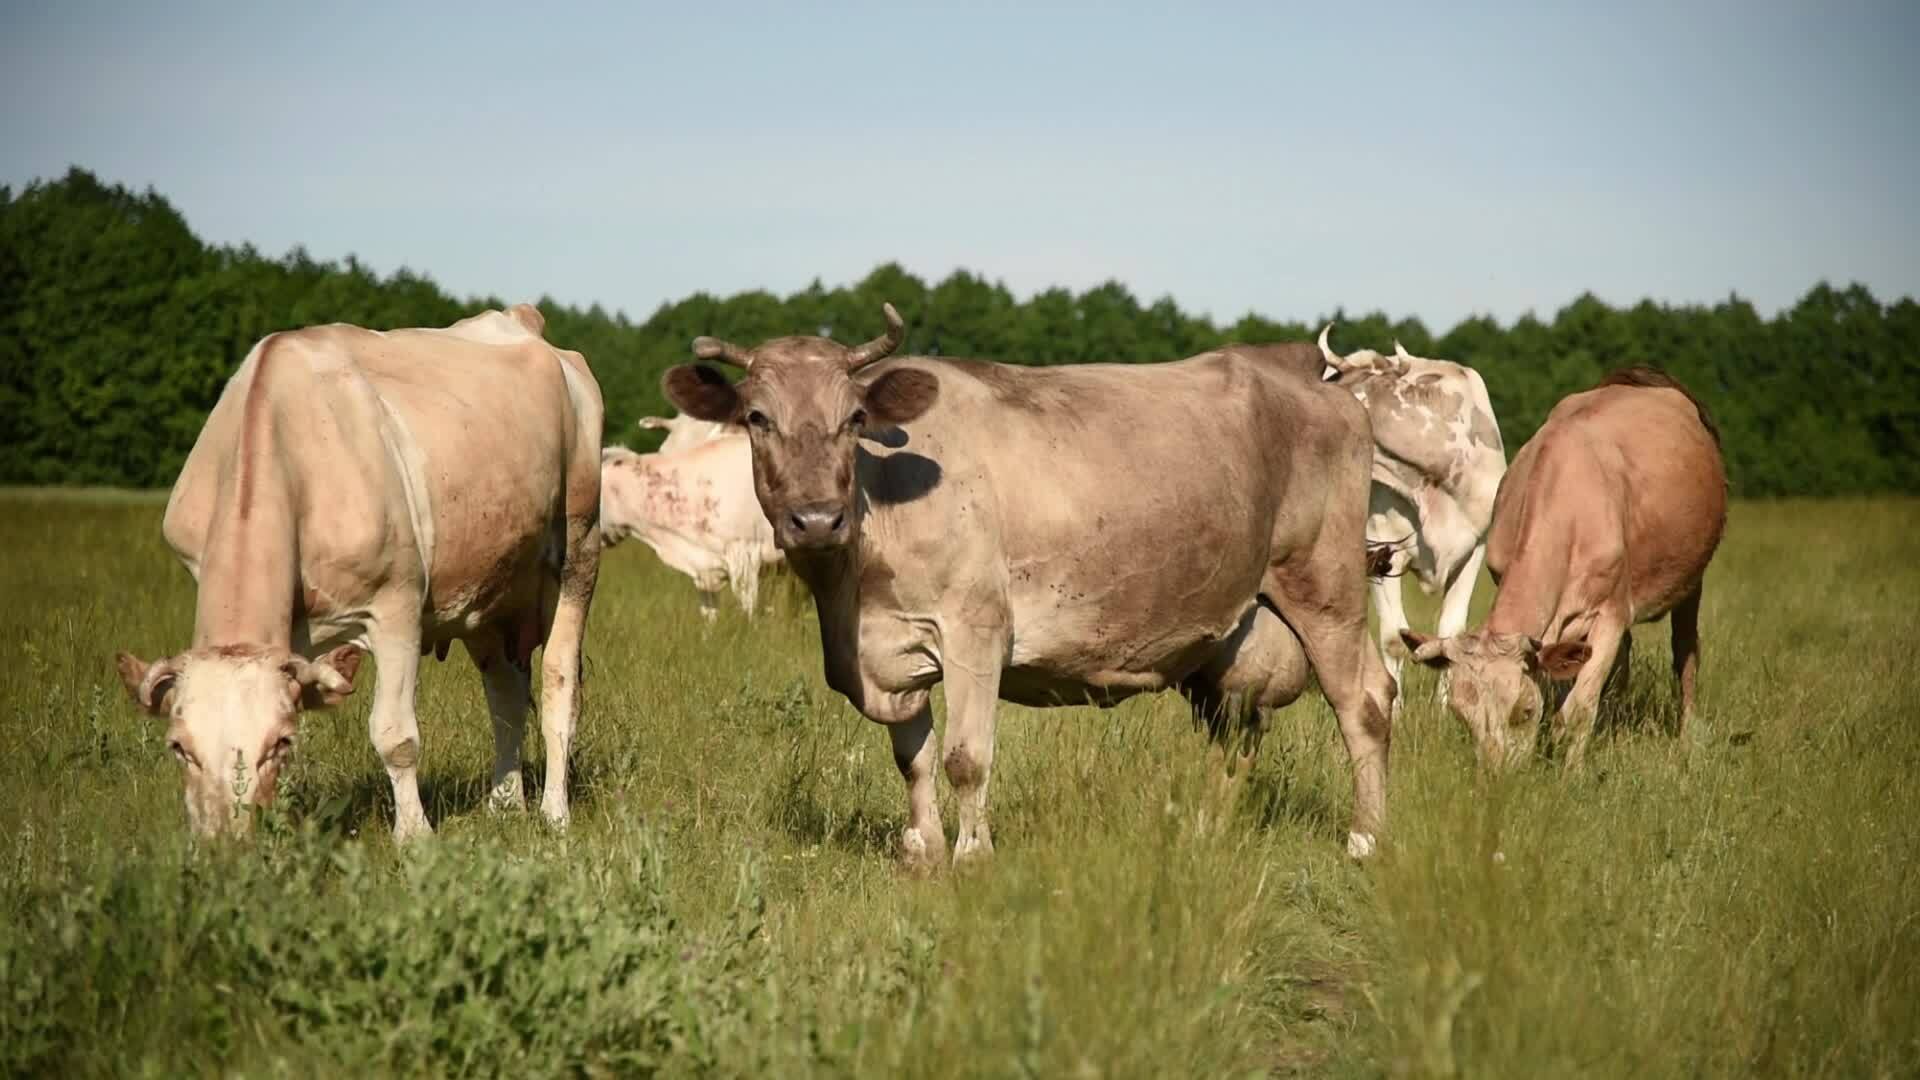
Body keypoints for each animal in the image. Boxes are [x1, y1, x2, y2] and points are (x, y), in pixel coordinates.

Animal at [114, 304, 604, 838]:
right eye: (179, 747)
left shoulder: (397, 607)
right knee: (507, 698)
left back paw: (554, 812)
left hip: (578, 552)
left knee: (559, 687)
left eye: (279, 742)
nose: (225, 843)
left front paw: (414, 836)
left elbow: (396, 735)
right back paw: (506, 803)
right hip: (490, 592)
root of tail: (521, 318)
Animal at [661, 304, 1397, 868]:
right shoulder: (890, 651)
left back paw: (1366, 839)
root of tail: (1297, 368)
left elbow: (965, 756)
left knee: (1364, 700)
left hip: (1325, 586)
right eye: (757, 418)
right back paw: (1206, 830)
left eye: (854, 421)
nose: (816, 519)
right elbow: (913, 760)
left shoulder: (974, 629)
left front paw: (972, 856)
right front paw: (925, 852)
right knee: (1238, 733)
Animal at [1318, 326, 1506, 710]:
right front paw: (1394, 707)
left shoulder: (1475, 547)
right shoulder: (1380, 548)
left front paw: (1445, 707)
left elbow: (1450, 632)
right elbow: (1392, 636)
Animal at [1400, 367, 1726, 769]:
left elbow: (1577, 709)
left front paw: (1572, 772)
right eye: (1462, 716)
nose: (1496, 777)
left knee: (1685, 652)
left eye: (1523, 711)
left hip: (1691, 581)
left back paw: (1685, 739)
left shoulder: (1610, 615)